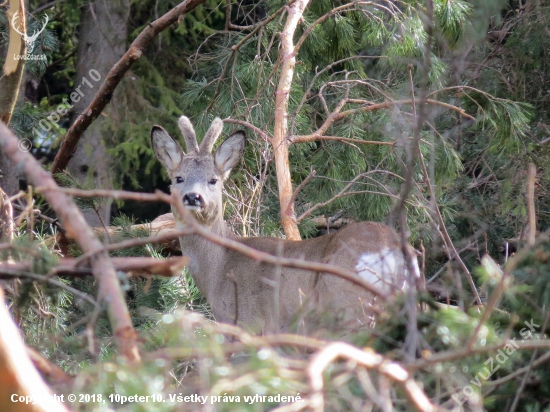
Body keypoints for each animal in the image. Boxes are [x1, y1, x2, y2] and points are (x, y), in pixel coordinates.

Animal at [151, 115, 418, 332]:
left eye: (213, 180)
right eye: (178, 178)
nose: (193, 197)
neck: (219, 268)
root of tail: (391, 250)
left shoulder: (247, 323)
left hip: (348, 307)